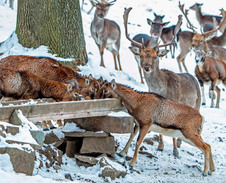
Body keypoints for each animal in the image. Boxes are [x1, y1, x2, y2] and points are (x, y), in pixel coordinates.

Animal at [123, 7, 203, 158]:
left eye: (156, 57)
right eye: (141, 55)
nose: (146, 67)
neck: (161, 89)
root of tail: (193, 77)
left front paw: (175, 151)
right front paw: (160, 146)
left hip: (198, 103)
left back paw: (179, 143)